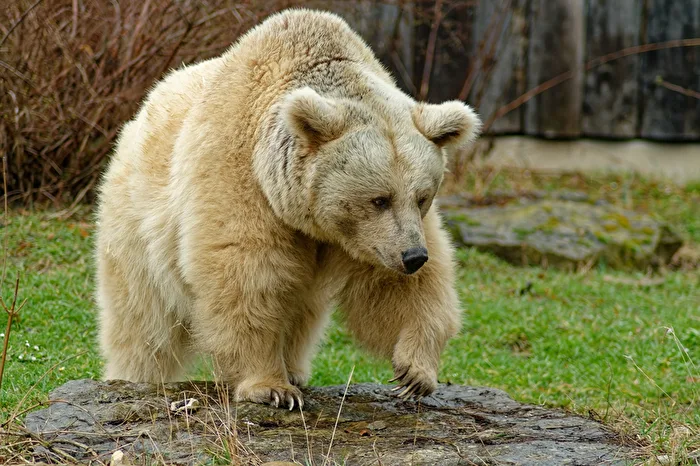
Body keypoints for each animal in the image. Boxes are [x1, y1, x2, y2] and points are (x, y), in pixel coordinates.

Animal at [94, 8, 481, 409]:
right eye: (379, 199)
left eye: (422, 196)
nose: (413, 256)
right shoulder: (243, 177)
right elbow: (246, 275)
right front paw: (271, 387)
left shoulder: (372, 239)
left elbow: (397, 287)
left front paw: (414, 372)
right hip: (136, 225)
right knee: (143, 322)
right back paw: (131, 375)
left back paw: (294, 367)